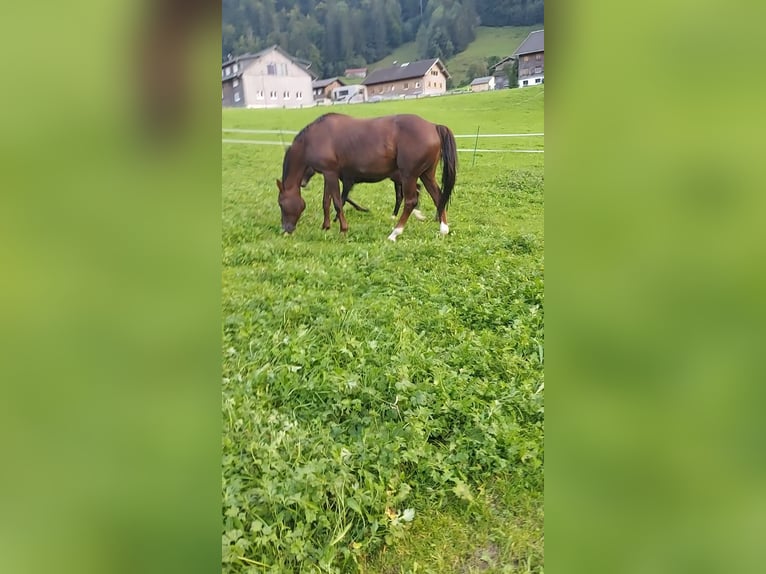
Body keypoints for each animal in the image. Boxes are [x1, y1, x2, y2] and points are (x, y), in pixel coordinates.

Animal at [276, 112, 456, 241]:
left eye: (281, 204)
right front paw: (325, 227)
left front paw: (343, 230)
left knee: (411, 201)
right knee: (438, 196)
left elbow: (337, 202)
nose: (286, 229)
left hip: (409, 175)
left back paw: (394, 233)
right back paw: (443, 230)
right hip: (426, 174)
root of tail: (433, 126)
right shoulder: (329, 174)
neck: (313, 138)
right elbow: (326, 202)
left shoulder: (331, 174)